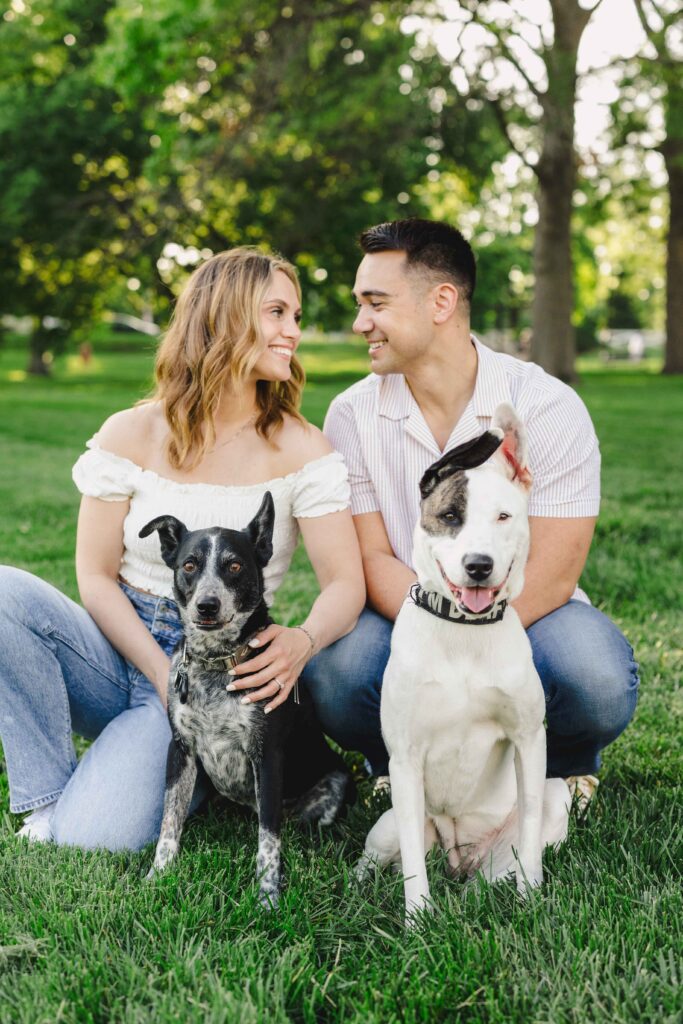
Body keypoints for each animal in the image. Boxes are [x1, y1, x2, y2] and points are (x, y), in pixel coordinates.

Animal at [139, 493, 352, 905]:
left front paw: (268, 897)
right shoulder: (181, 750)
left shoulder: (266, 756)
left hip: (329, 787)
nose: (207, 605)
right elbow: (169, 822)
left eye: (235, 566)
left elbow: (268, 839)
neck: (215, 661)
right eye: (189, 565)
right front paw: (158, 876)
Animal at [358, 401, 573, 921]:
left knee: (494, 872)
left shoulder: (528, 739)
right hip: (388, 826)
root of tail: (458, 860)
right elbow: (414, 866)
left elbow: (530, 829)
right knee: (376, 861)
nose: (479, 565)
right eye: (450, 515)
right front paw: (417, 920)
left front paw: (532, 900)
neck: (463, 633)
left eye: (503, 517)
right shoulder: (405, 757)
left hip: (552, 800)